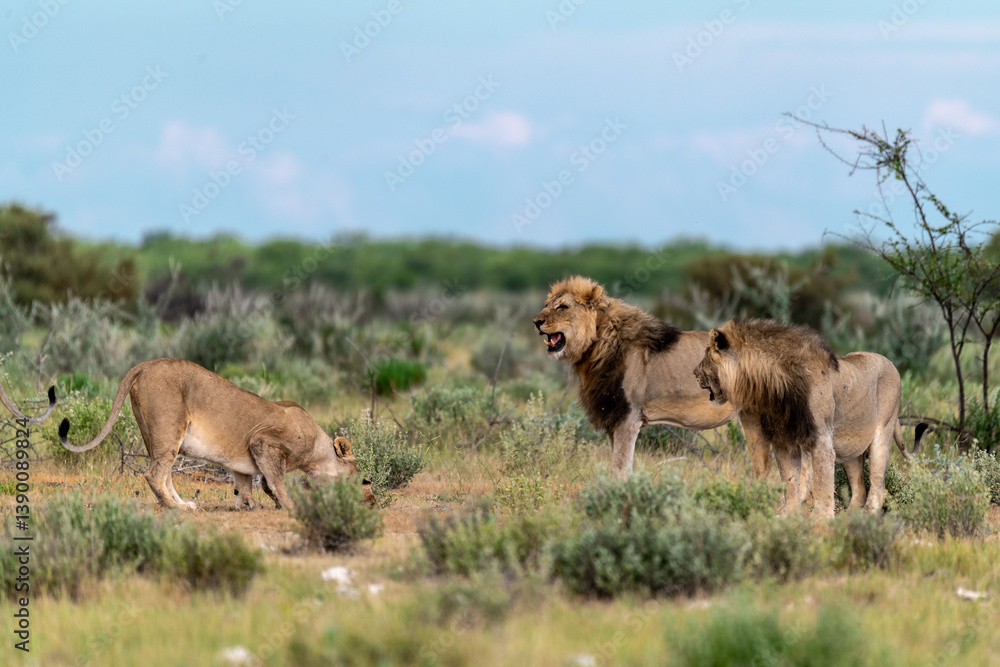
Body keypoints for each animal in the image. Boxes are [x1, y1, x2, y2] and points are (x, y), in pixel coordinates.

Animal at [58, 358, 372, 511]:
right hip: (169, 429)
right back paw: (178, 509)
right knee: (154, 475)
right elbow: (277, 480)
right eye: (364, 481)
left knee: (164, 473)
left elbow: (245, 483)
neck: (318, 450)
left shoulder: (248, 454)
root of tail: (147, 364)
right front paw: (291, 505)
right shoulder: (263, 441)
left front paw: (249, 505)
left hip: (154, 434)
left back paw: (182, 503)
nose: (372, 503)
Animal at [533, 276, 737, 478]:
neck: (596, 347)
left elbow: (619, 469)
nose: (536, 321)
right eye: (546, 305)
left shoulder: (628, 417)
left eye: (563, 307)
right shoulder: (613, 418)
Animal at [694, 317, 909, 518]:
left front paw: (821, 521)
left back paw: (866, 518)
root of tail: (890, 362)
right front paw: (789, 516)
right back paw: (850, 518)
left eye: (706, 357)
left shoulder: (821, 439)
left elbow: (822, 486)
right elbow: (790, 481)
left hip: (882, 433)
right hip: (852, 447)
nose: (695, 373)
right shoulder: (784, 442)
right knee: (859, 488)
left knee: (878, 485)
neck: (771, 387)